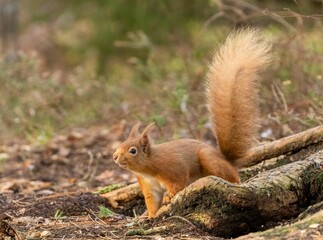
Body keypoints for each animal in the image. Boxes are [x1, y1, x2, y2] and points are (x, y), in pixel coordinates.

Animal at [112, 27, 272, 218]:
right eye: (121, 144)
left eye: (133, 150)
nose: (115, 157)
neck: (148, 168)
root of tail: (227, 160)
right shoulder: (149, 187)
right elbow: (152, 203)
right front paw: (149, 217)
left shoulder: (173, 168)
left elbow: (177, 183)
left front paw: (169, 197)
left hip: (210, 159)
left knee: (232, 177)